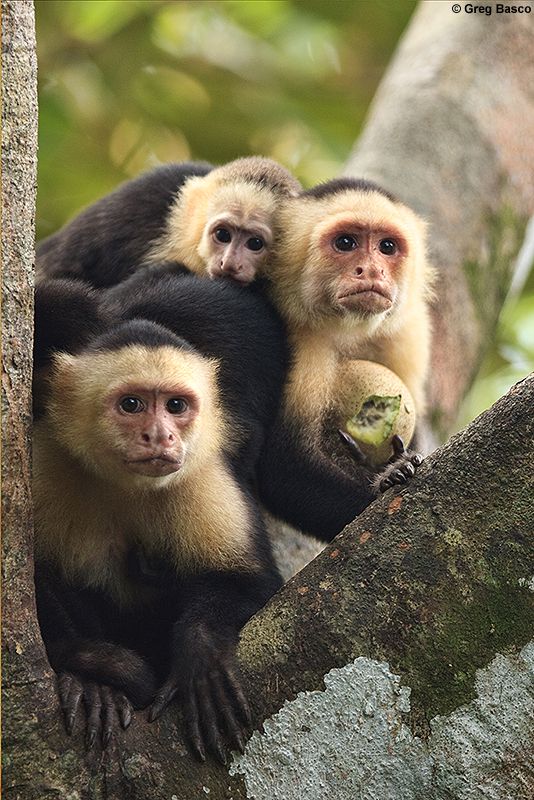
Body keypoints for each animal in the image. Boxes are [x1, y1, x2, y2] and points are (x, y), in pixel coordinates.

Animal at [33, 277, 289, 759]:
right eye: (132, 404)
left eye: (175, 406)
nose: (161, 436)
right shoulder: (46, 461)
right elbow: (34, 579)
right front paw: (90, 672)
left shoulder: (204, 475)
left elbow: (250, 583)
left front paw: (201, 651)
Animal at [255, 177, 433, 540]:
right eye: (346, 242)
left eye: (387, 247)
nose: (372, 270)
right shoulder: (296, 334)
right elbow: (284, 467)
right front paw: (388, 481)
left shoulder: (409, 330)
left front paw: (398, 462)